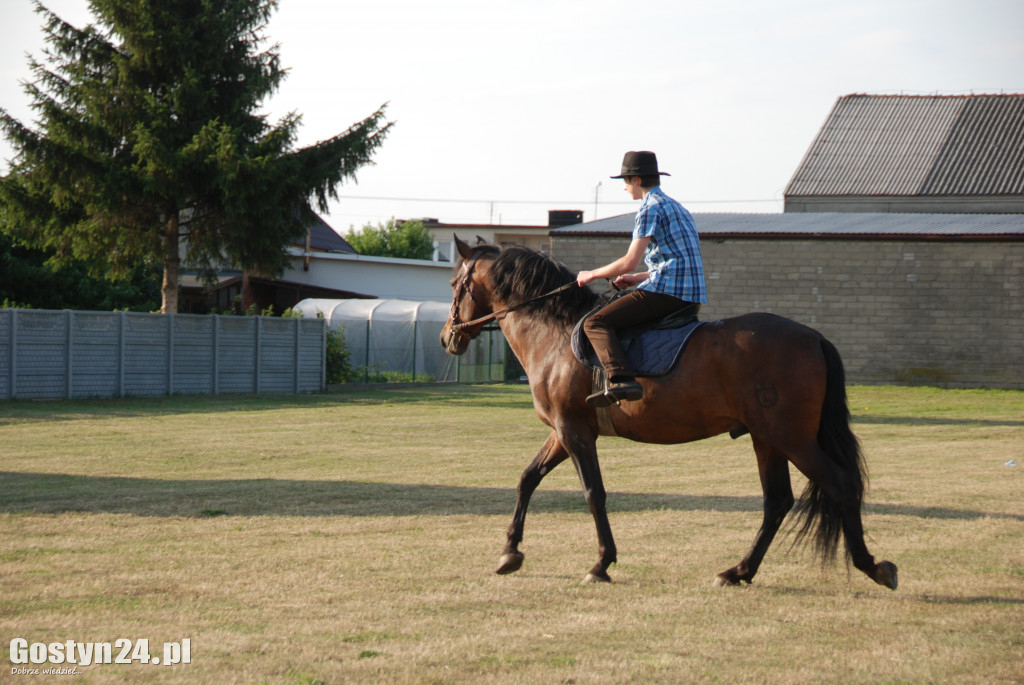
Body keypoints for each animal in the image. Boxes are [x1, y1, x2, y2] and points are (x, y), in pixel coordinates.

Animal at [440, 235, 897, 589]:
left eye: (454, 282)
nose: (448, 337)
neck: (555, 334)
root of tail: (814, 337)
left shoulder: (574, 432)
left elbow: (593, 493)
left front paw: (601, 564)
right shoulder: (562, 432)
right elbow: (527, 479)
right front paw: (509, 553)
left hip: (791, 438)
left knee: (839, 485)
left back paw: (872, 567)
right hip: (766, 438)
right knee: (777, 502)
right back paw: (739, 571)